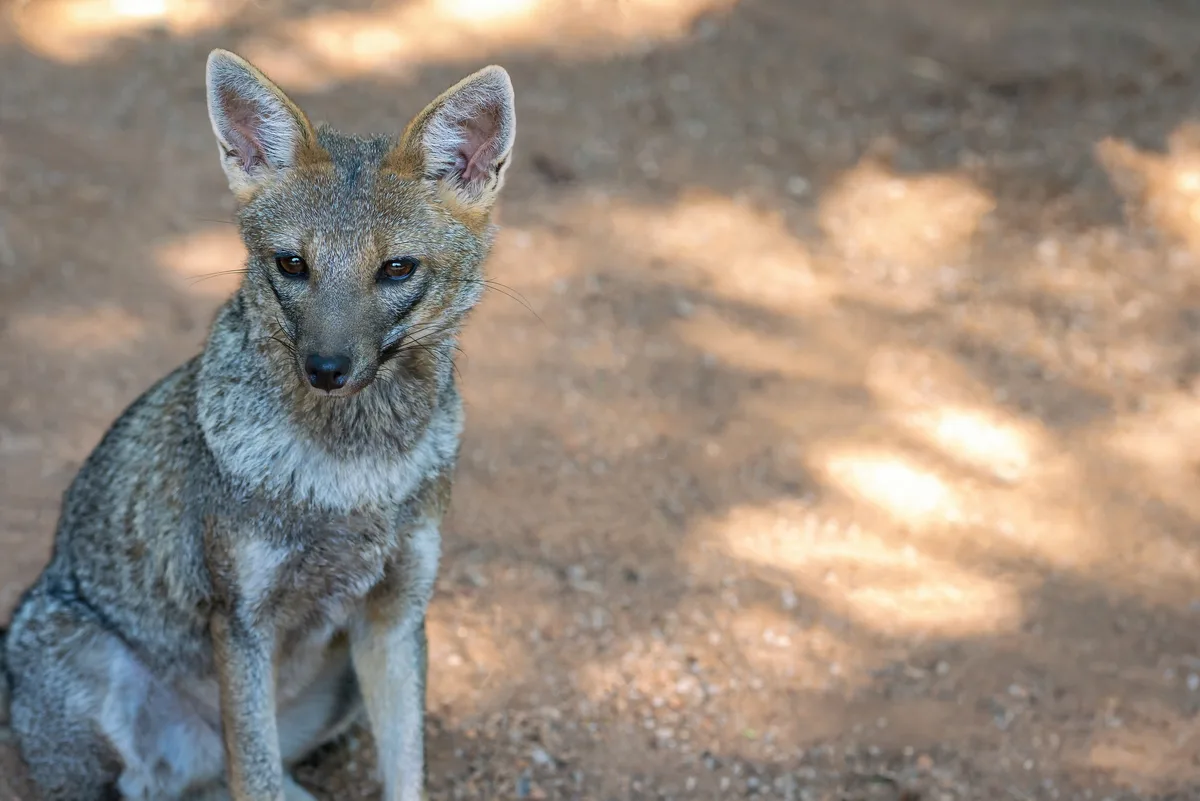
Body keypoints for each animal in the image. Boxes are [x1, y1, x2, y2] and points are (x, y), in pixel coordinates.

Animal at [0, 47, 516, 801]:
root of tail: (188, 770)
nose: (326, 367)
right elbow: (259, 773)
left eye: (396, 269)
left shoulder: (396, 615)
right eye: (291, 264)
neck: (353, 474)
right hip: (87, 666)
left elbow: (405, 773)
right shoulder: (241, 620)